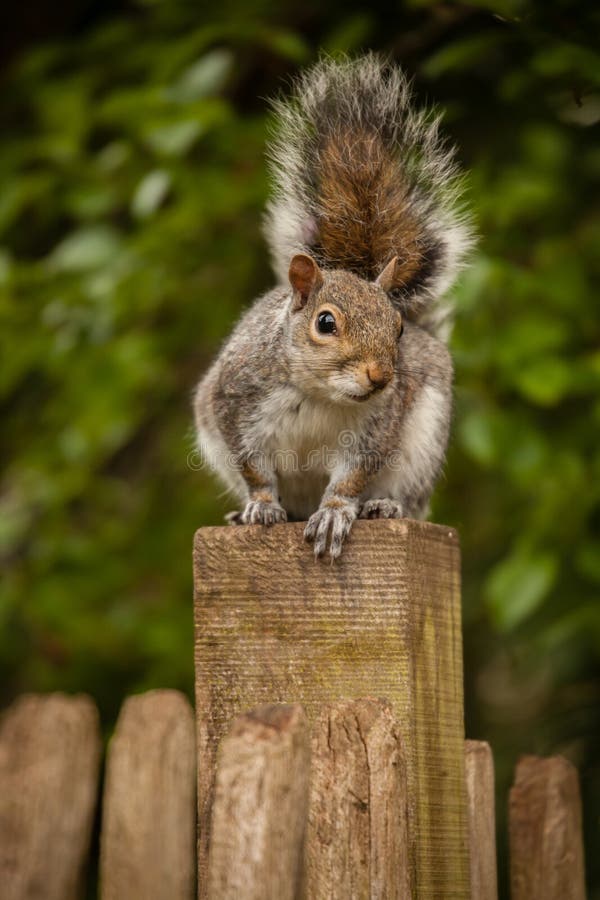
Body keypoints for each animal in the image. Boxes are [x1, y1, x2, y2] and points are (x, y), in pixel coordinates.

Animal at [192, 52, 474, 560]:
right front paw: (260, 506)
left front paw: (336, 514)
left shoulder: (375, 428)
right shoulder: (234, 404)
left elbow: (351, 479)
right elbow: (255, 470)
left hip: (423, 445)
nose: (380, 376)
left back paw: (383, 506)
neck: (320, 394)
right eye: (325, 323)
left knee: (410, 497)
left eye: (398, 328)